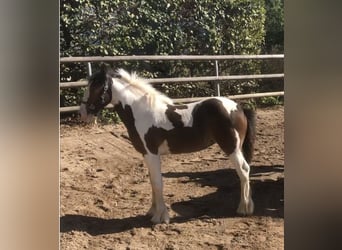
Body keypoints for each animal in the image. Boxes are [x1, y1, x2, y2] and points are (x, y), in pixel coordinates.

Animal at [80, 65, 255, 225]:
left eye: (98, 87)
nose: (82, 113)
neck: (140, 112)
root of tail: (238, 107)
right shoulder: (146, 154)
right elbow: (152, 181)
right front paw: (152, 212)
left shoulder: (152, 154)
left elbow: (158, 183)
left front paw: (160, 217)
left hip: (231, 148)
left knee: (244, 170)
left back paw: (244, 208)